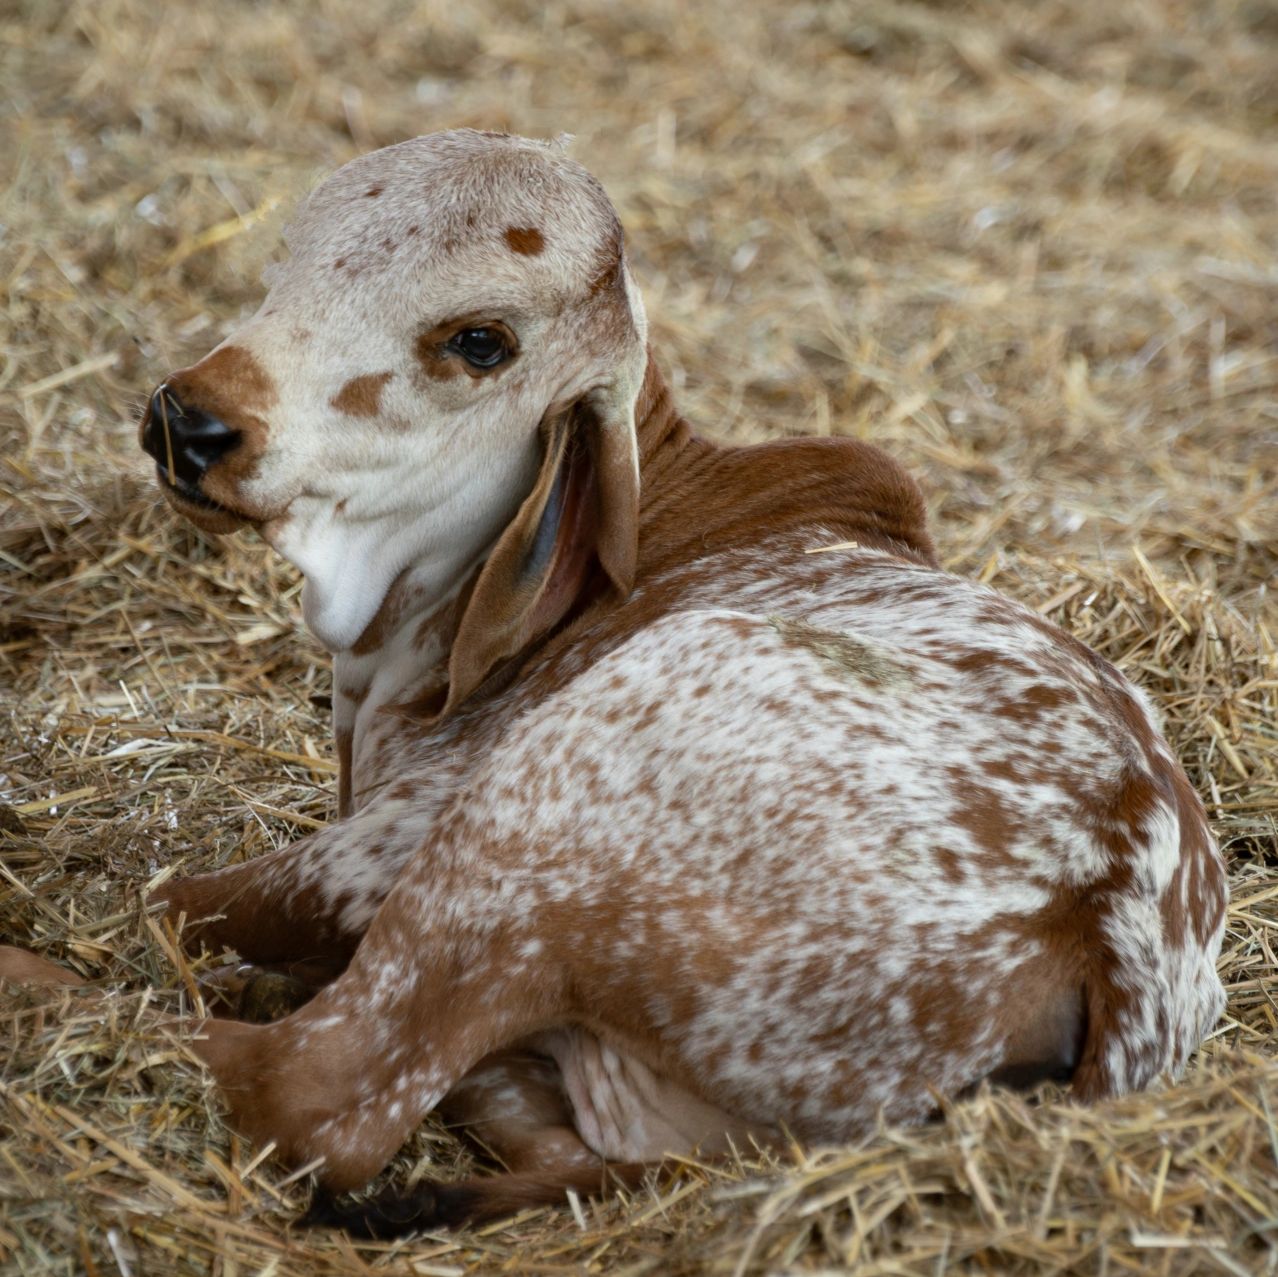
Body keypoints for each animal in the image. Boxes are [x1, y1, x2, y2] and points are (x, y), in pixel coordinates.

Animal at [3, 130, 1228, 1235]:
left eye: (480, 341)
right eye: (293, 255)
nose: (190, 420)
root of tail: (1117, 925)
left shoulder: (385, 845)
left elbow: (164, 897)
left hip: (543, 819)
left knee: (315, 1089)